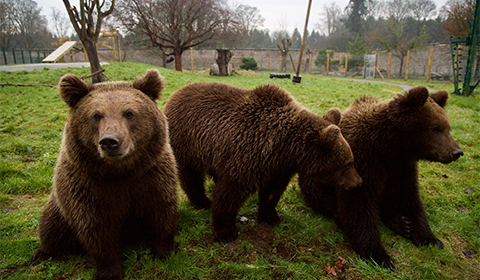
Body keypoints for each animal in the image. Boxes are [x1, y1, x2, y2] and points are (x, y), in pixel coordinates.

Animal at [31, 69, 179, 278]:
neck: (121, 172)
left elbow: (161, 211)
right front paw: (109, 271)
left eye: (129, 113)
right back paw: (41, 253)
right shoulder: (88, 187)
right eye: (96, 115)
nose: (110, 141)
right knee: (50, 228)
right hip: (59, 209)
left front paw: (163, 252)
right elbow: (96, 229)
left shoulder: (151, 176)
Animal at [163, 82, 362, 242]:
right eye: (348, 163)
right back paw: (202, 201)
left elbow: (272, 193)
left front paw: (271, 217)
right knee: (191, 176)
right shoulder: (247, 155)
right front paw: (226, 232)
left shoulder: (277, 168)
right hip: (186, 143)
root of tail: (174, 95)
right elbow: (229, 194)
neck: (286, 149)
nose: (359, 182)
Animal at [298, 86, 464, 270]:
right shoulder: (363, 160)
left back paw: (401, 223)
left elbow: (409, 197)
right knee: (321, 197)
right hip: (316, 177)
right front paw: (380, 256)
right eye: (435, 128)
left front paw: (430, 239)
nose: (457, 152)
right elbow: (359, 203)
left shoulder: (401, 168)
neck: (388, 147)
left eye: (447, 127)